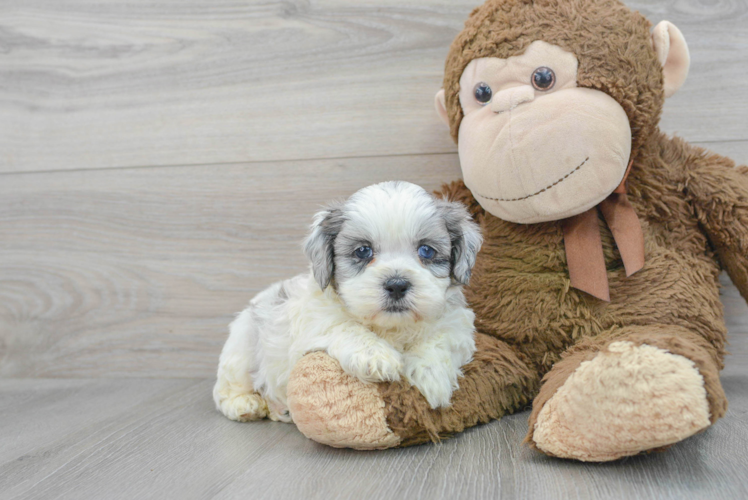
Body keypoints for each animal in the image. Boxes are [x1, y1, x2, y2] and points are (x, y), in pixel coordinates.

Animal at [213, 180, 482, 422]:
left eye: (426, 251)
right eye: (363, 251)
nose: (396, 284)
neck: (391, 328)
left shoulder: (458, 325)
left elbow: (440, 339)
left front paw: (432, 375)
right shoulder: (316, 320)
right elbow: (345, 326)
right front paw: (375, 355)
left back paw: (280, 410)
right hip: (242, 347)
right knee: (225, 389)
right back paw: (244, 404)